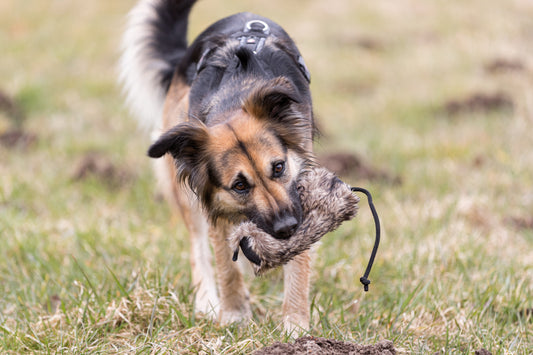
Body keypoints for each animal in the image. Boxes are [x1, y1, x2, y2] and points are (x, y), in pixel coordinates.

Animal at [119, 0, 316, 334]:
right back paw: (208, 301)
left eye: (278, 168)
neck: (235, 96)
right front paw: (234, 315)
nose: (287, 227)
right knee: (199, 248)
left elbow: (298, 267)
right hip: (183, 188)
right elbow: (226, 266)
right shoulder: (217, 203)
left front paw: (295, 325)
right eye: (239, 185)